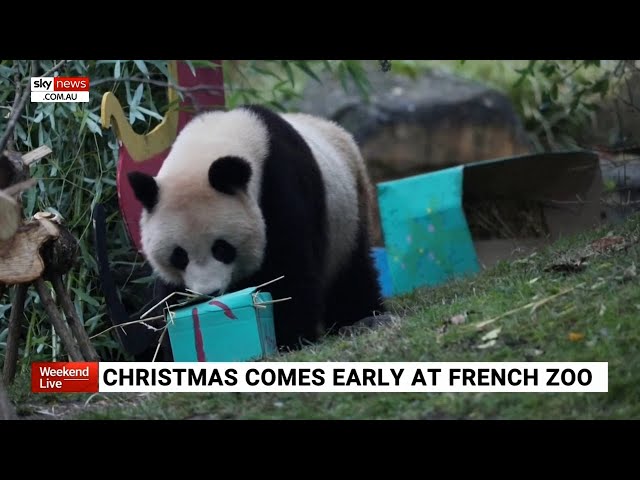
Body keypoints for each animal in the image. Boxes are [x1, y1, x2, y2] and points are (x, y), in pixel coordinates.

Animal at [127, 105, 382, 350]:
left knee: (351, 273)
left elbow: (290, 271)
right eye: (179, 255)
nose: (209, 294)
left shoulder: (281, 187)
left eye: (221, 248)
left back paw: (359, 315)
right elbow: (168, 295)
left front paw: (289, 337)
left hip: (350, 214)